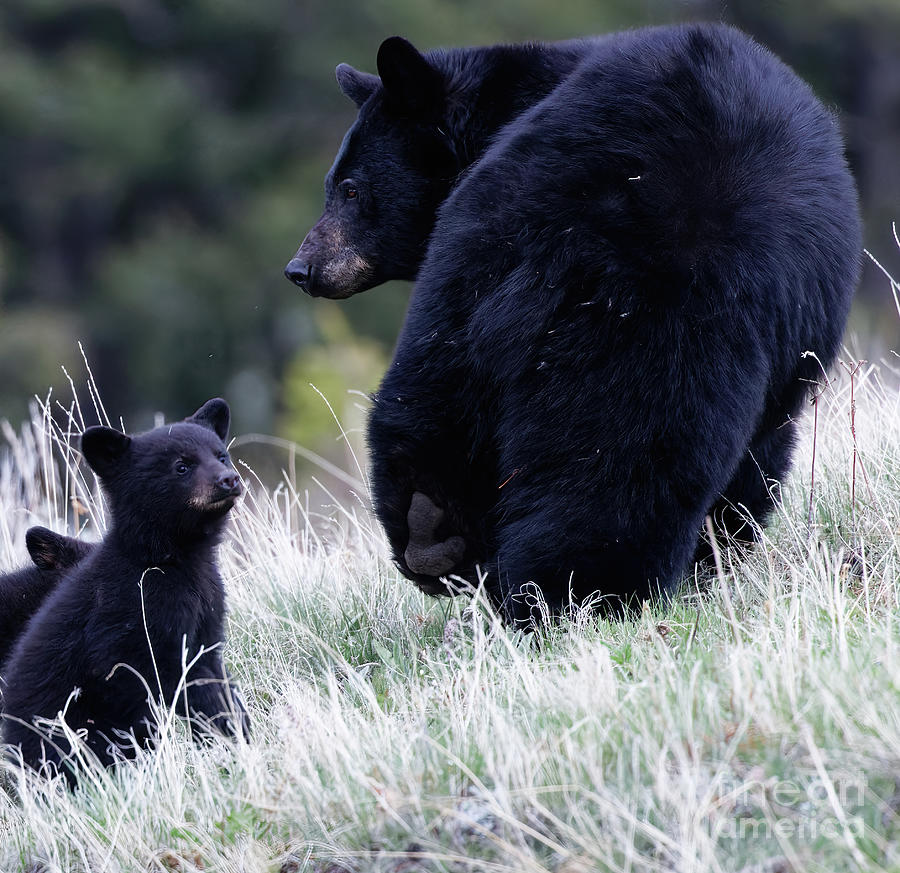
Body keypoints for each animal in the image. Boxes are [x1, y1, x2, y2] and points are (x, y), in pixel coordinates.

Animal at [286, 23, 856, 624]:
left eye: (349, 187)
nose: (301, 269)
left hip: (475, 269)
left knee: (432, 396)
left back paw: (440, 534)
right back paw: (582, 587)